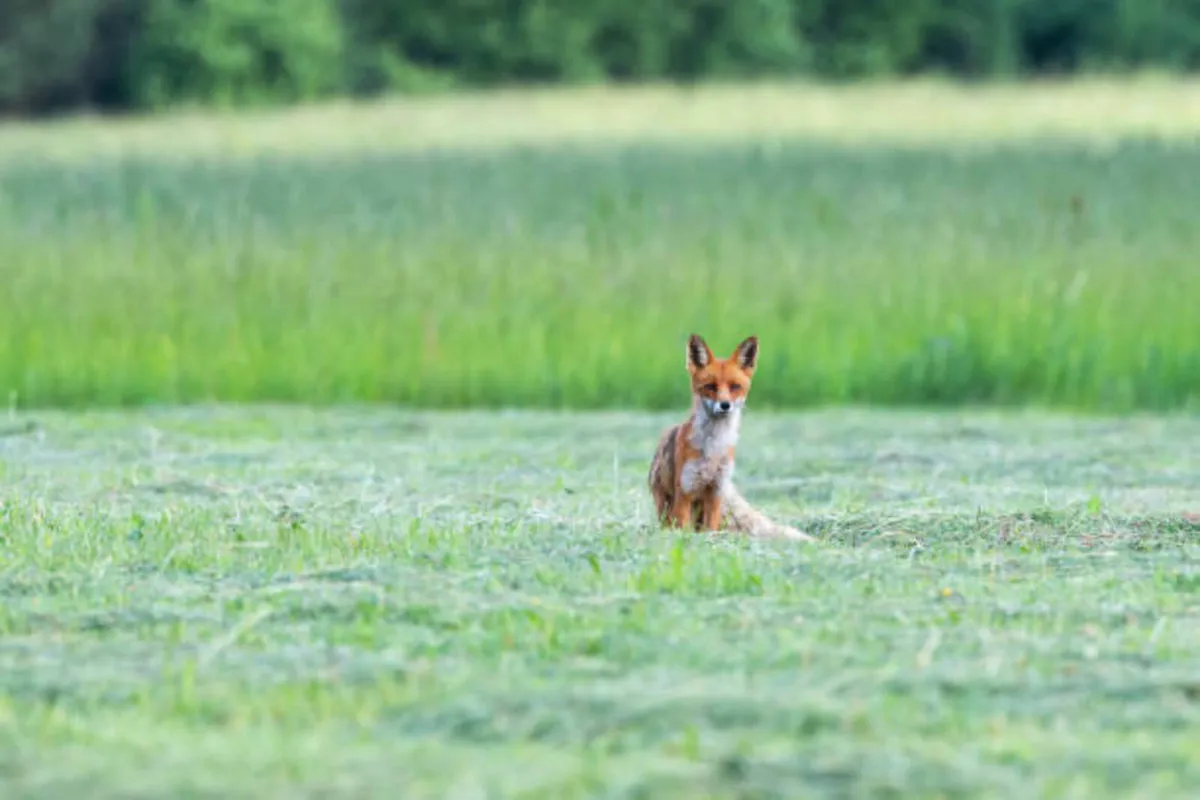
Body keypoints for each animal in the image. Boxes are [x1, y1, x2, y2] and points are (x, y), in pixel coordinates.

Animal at [646, 333, 815, 541]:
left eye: (735, 386)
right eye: (710, 386)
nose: (725, 405)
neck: (713, 449)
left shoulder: (716, 492)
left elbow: (710, 528)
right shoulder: (685, 492)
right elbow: (683, 529)